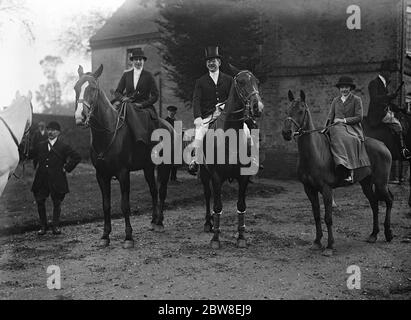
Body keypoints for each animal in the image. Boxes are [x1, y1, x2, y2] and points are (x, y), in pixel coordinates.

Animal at [75, 65, 173, 249]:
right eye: (75, 88)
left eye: (93, 89)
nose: (80, 117)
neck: (108, 133)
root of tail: (168, 125)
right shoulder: (101, 175)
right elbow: (106, 205)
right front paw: (105, 236)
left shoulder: (123, 173)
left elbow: (125, 205)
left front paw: (128, 237)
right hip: (148, 168)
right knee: (153, 190)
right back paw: (153, 220)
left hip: (165, 166)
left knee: (162, 191)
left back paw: (159, 223)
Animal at [199, 65, 264, 250]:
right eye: (241, 82)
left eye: (257, 82)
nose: (258, 107)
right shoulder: (215, 176)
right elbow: (217, 206)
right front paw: (215, 238)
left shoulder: (243, 177)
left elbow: (241, 205)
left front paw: (241, 236)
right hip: (205, 175)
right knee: (208, 196)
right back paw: (208, 223)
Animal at [282, 90, 394, 258]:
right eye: (287, 110)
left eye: (301, 111)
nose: (286, 133)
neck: (314, 153)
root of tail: (383, 145)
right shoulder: (309, 189)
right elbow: (316, 215)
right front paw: (317, 242)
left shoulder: (326, 190)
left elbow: (328, 218)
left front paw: (329, 246)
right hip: (366, 184)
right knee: (374, 204)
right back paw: (373, 234)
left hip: (380, 183)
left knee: (388, 201)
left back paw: (388, 233)